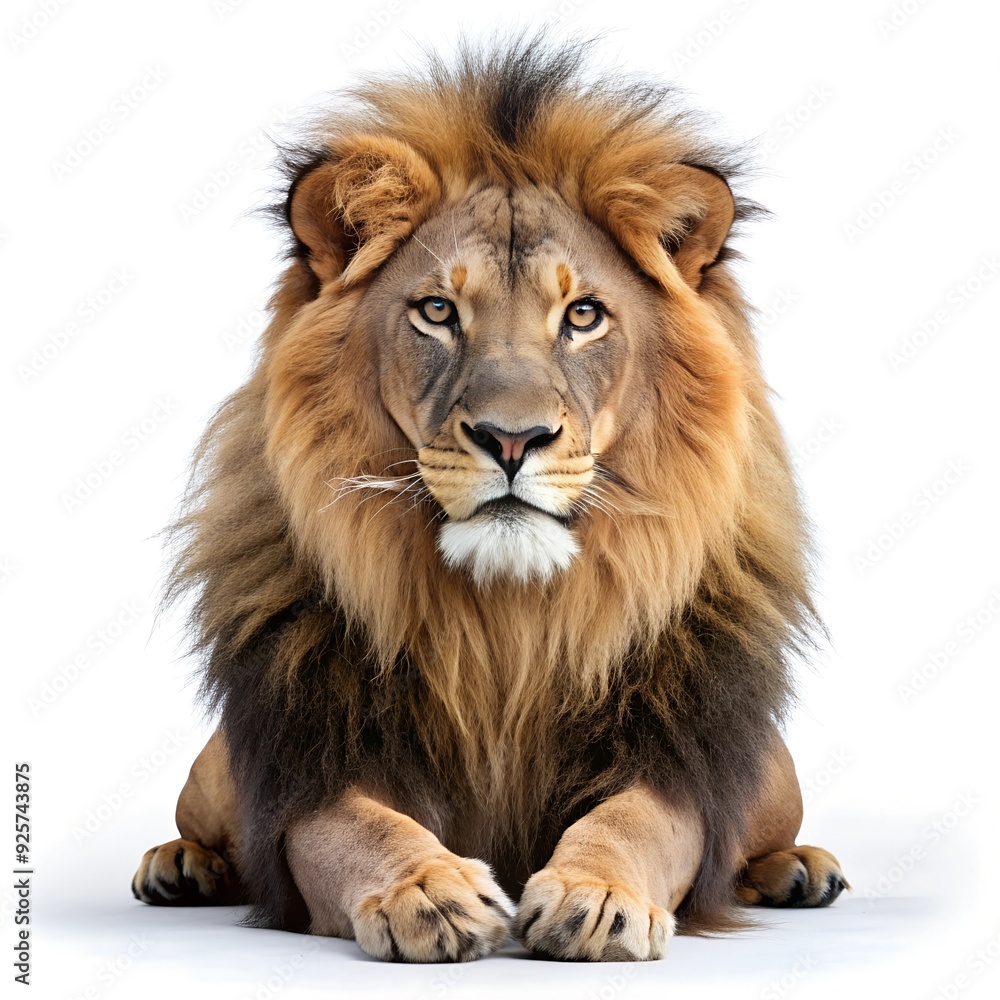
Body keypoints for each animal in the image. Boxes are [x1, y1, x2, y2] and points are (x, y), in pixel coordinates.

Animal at [131, 41, 847, 962]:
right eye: (438, 310)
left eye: (583, 315)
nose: (513, 439)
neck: (507, 619)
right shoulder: (312, 764)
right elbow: (362, 829)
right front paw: (428, 891)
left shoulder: (674, 753)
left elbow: (637, 822)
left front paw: (596, 894)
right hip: (221, 768)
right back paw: (180, 862)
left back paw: (798, 868)